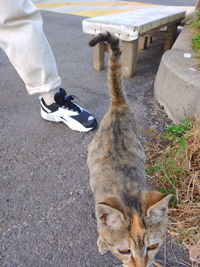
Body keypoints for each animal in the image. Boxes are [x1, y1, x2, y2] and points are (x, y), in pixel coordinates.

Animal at [87, 31, 170, 267]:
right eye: (124, 250)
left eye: (153, 246)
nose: (141, 266)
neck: (125, 189)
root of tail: (118, 106)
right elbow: (101, 227)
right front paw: (102, 241)